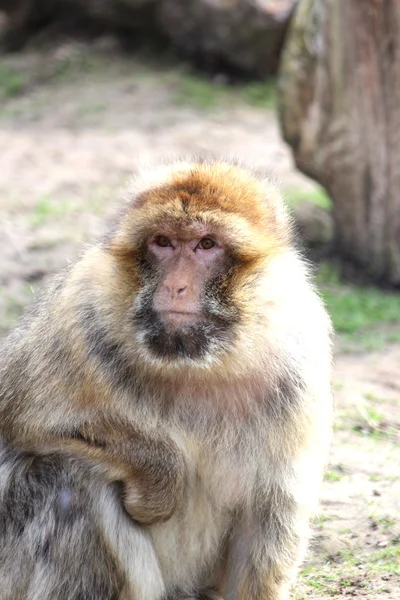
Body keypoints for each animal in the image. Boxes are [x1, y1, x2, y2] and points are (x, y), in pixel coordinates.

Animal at [0, 159, 332, 600]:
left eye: (206, 244)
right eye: (163, 242)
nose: (176, 285)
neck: (199, 364)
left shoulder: (300, 359)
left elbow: (271, 508)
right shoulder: (77, 314)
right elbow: (19, 423)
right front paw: (161, 478)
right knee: (69, 475)